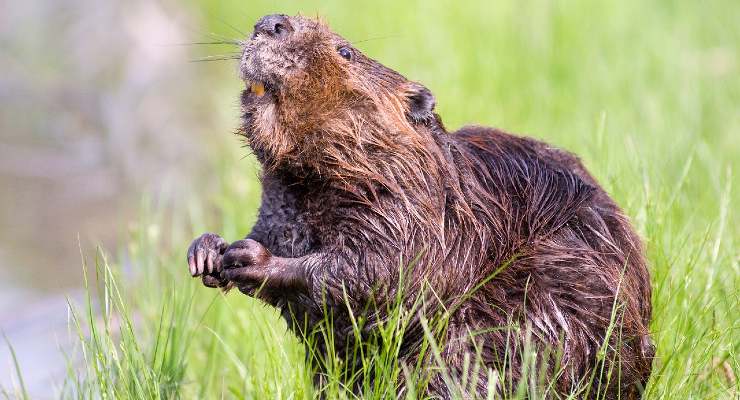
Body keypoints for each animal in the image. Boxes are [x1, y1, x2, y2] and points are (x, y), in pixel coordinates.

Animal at [186, 14, 652, 398]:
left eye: (345, 51)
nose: (271, 21)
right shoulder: (283, 203)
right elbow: (274, 232)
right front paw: (207, 250)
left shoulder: (415, 208)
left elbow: (380, 271)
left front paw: (251, 259)